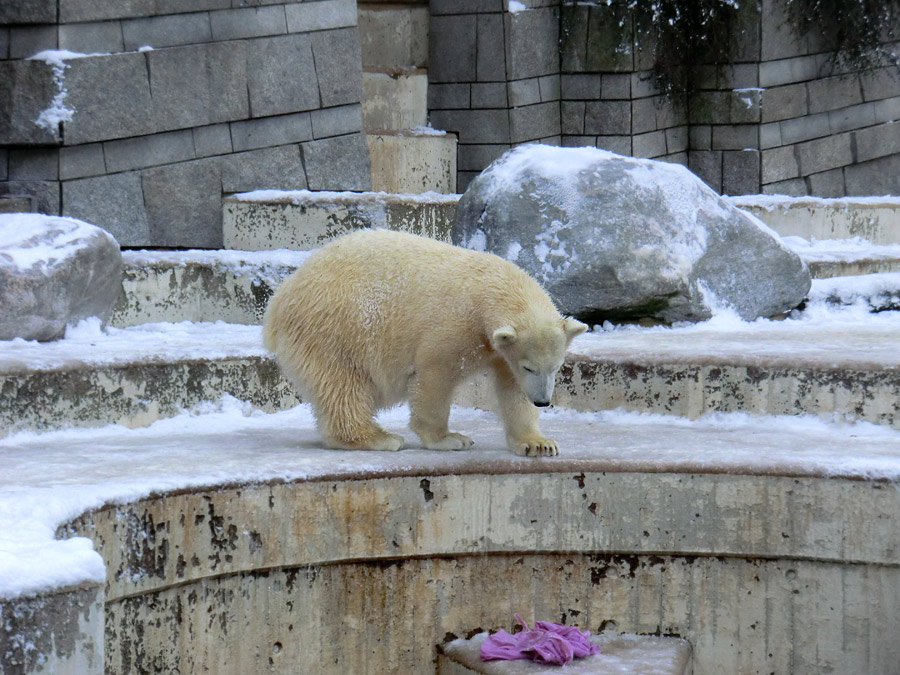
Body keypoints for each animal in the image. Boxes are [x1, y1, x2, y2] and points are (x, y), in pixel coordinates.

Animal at [264, 230, 588, 456]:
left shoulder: (500, 349)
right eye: (529, 367)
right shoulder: (456, 325)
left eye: (556, 367)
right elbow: (435, 374)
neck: (488, 289)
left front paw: (538, 444)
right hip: (335, 328)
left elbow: (512, 389)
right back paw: (381, 438)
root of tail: (279, 299)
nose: (543, 401)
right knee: (342, 386)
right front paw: (450, 439)